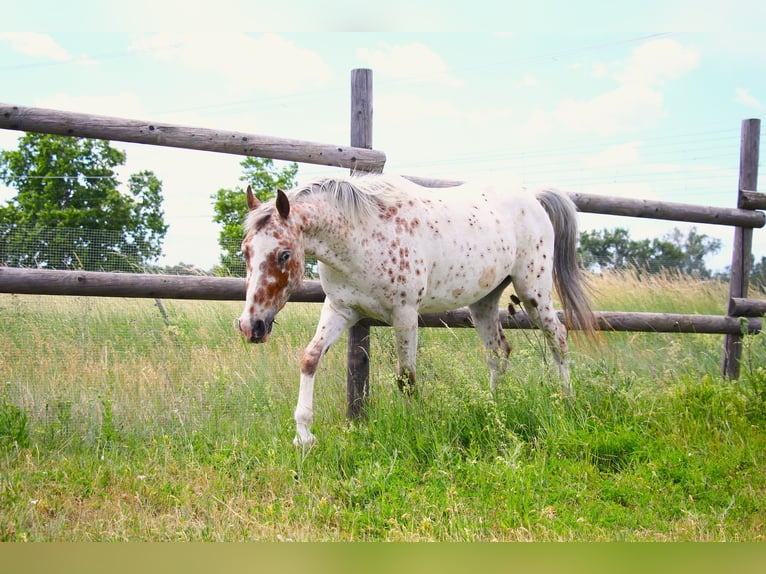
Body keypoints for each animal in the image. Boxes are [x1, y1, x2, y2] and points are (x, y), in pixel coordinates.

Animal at [237, 173, 595, 446]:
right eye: (245, 251)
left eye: (284, 254)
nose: (251, 326)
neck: (360, 235)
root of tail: (533, 197)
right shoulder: (341, 309)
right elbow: (310, 359)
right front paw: (304, 436)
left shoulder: (405, 314)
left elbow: (406, 378)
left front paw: (414, 427)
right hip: (483, 301)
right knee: (498, 352)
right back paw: (493, 407)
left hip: (534, 291)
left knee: (558, 339)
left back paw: (567, 401)